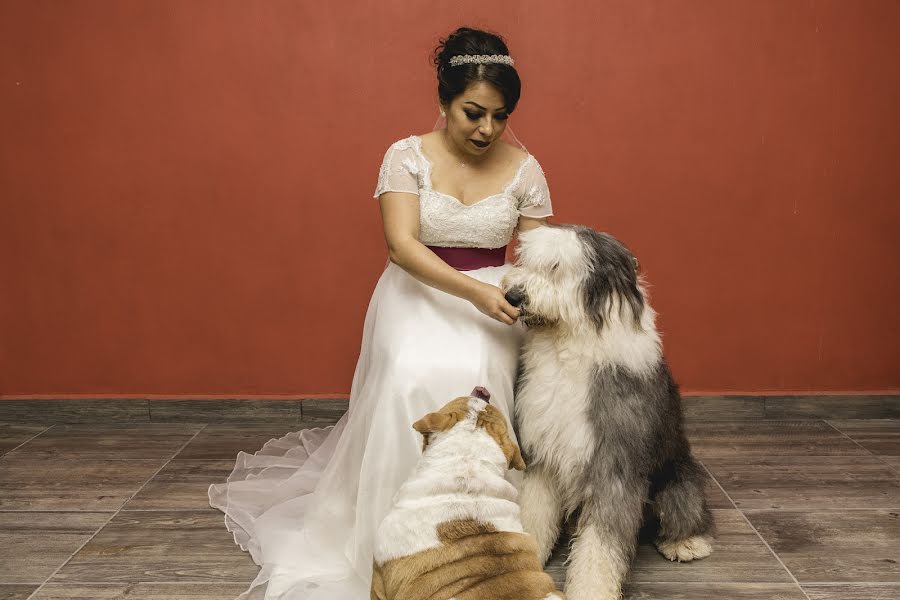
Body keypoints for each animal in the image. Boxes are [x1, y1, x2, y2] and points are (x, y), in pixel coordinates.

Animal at [502, 224, 712, 600]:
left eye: (555, 267)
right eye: (525, 261)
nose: (513, 296)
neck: (568, 346)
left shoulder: (613, 464)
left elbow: (600, 544)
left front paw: (590, 589)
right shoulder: (543, 450)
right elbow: (535, 510)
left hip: (677, 482)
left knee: (685, 510)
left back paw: (687, 543)